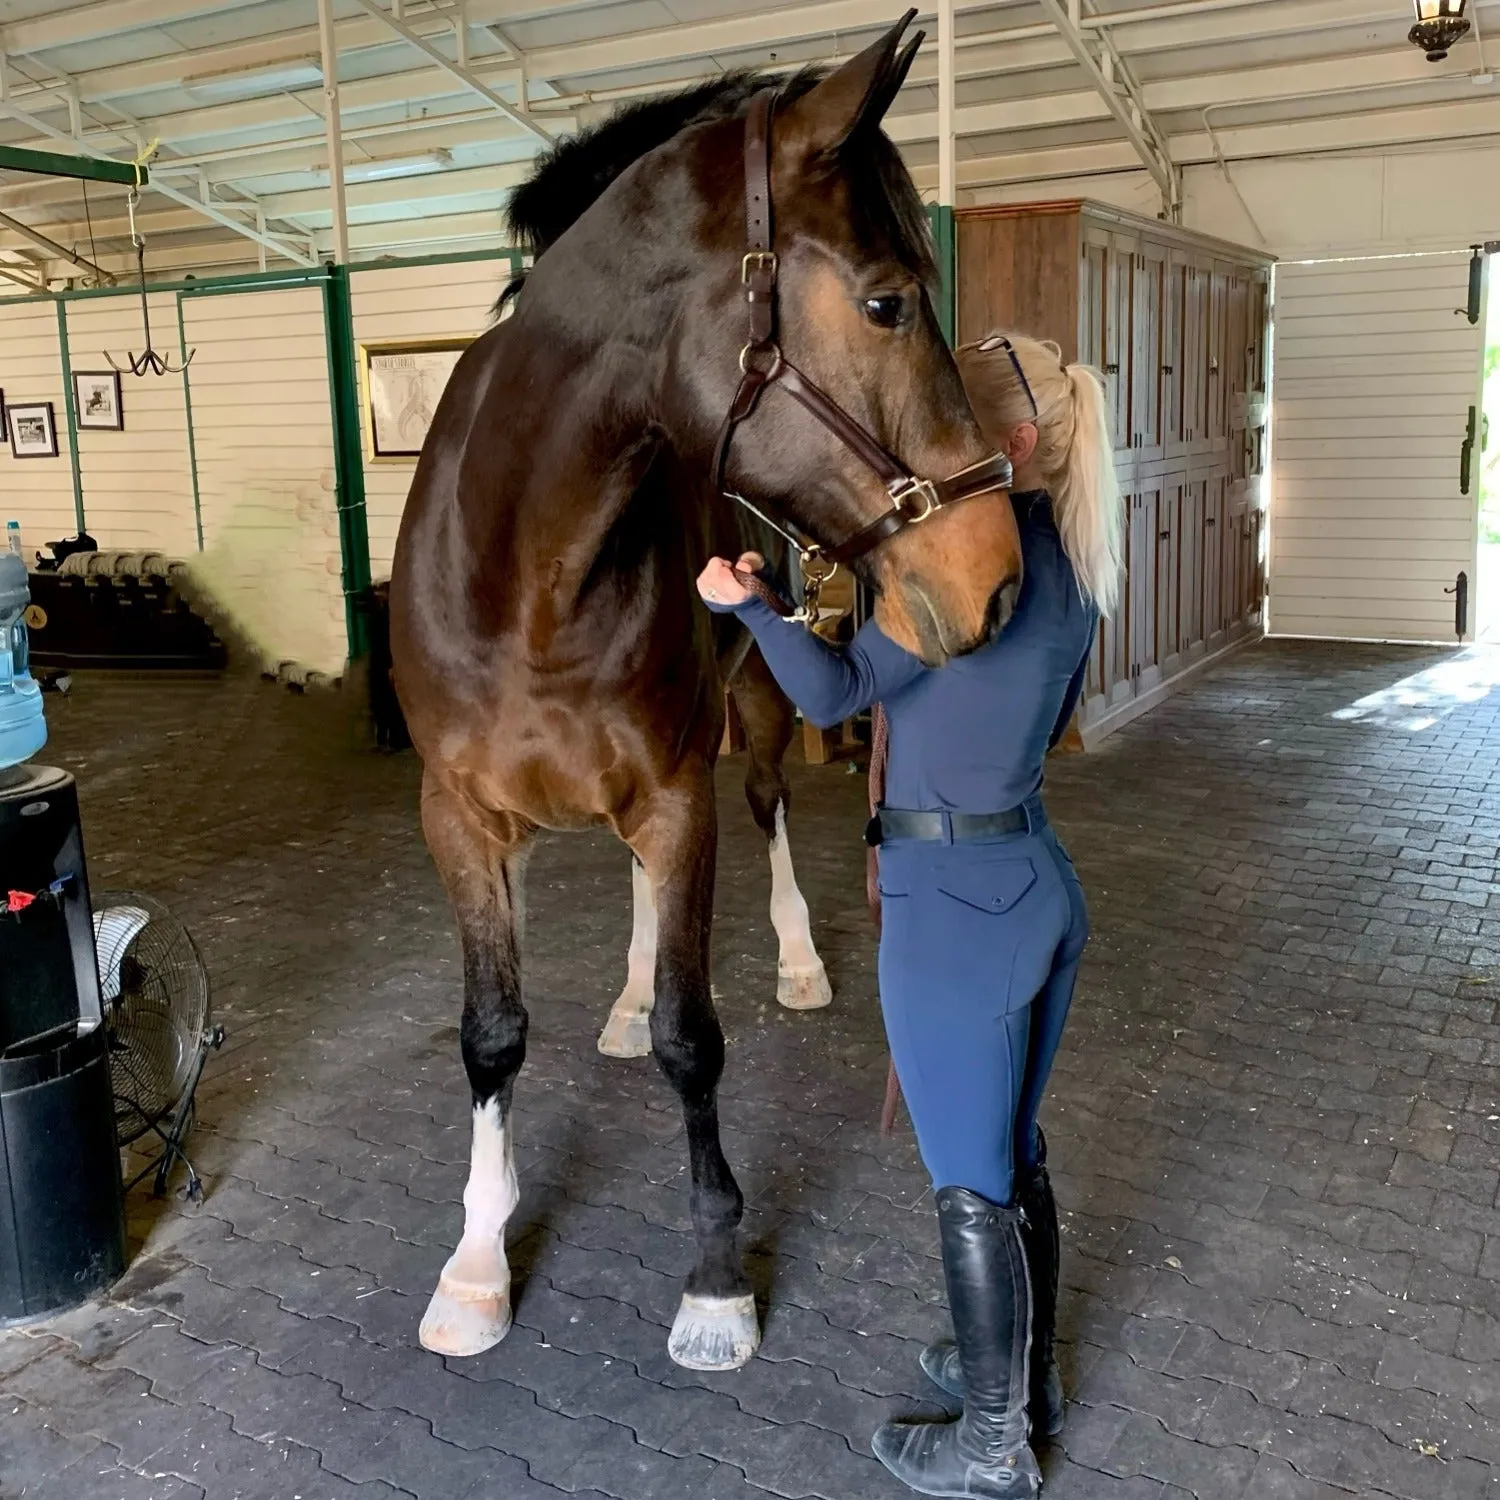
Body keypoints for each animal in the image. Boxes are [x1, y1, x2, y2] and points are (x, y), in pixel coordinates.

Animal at [387, 8, 1026, 1374]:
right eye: (887, 302)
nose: (993, 576)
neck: (528, 568)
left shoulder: (680, 789)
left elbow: (698, 1039)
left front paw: (717, 1282)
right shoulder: (459, 816)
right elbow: (491, 1032)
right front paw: (477, 1265)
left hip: (758, 716)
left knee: (771, 811)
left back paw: (796, 960)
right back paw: (625, 1002)